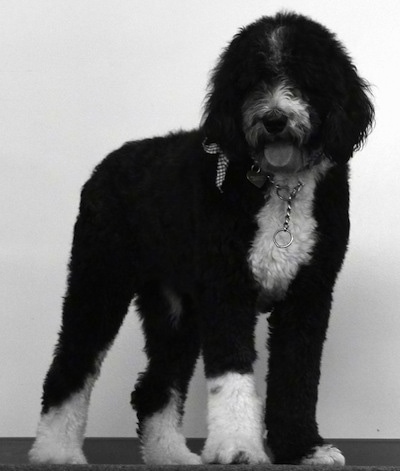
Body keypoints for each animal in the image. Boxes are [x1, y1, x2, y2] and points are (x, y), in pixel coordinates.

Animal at [29, 11, 374, 468]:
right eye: (250, 81)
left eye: (305, 78)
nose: (274, 120)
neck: (280, 190)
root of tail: (108, 163)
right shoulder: (227, 290)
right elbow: (233, 372)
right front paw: (239, 446)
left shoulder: (308, 294)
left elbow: (297, 375)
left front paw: (303, 448)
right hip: (99, 278)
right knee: (71, 364)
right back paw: (55, 450)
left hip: (176, 307)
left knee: (154, 387)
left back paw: (170, 454)